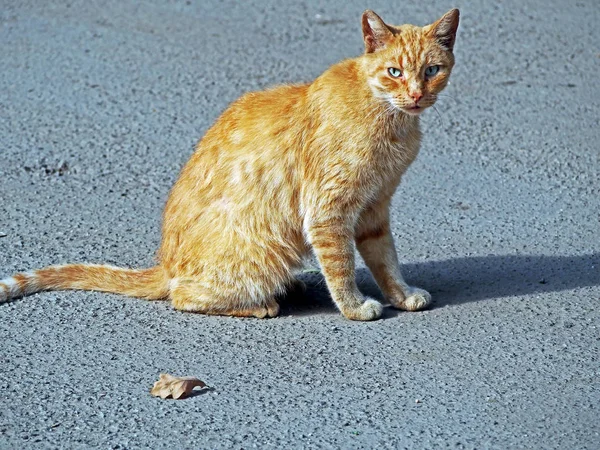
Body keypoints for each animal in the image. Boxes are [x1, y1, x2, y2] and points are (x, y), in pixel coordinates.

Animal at [0, 8, 460, 322]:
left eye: (432, 70)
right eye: (394, 71)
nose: (416, 95)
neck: (389, 119)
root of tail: (165, 263)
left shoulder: (374, 209)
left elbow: (386, 259)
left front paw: (401, 295)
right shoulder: (328, 212)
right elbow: (342, 266)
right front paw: (354, 307)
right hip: (263, 255)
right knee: (183, 296)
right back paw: (262, 305)